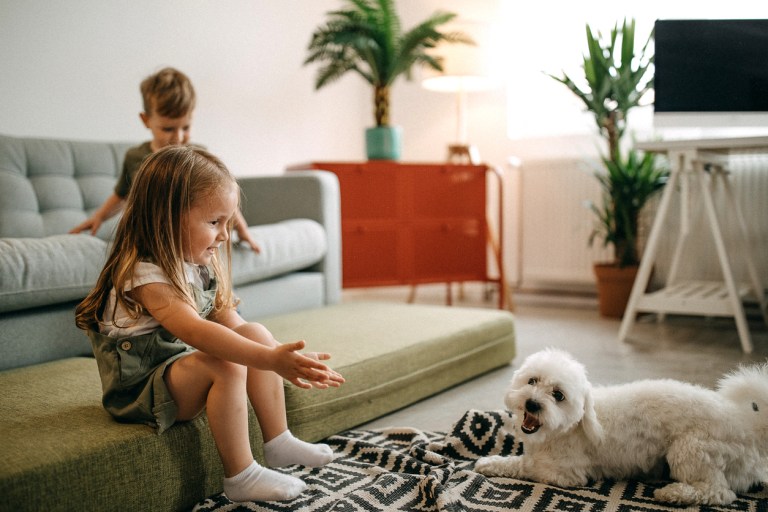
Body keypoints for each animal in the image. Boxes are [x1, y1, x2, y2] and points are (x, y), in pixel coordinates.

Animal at [474, 348, 768, 504]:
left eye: (558, 395)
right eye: (532, 381)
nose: (533, 404)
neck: (570, 426)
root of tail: (749, 427)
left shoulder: (566, 474)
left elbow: (524, 465)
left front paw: (490, 463)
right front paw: (492, 461)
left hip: (689, 449)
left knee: (719, 492)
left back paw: (673, 493)